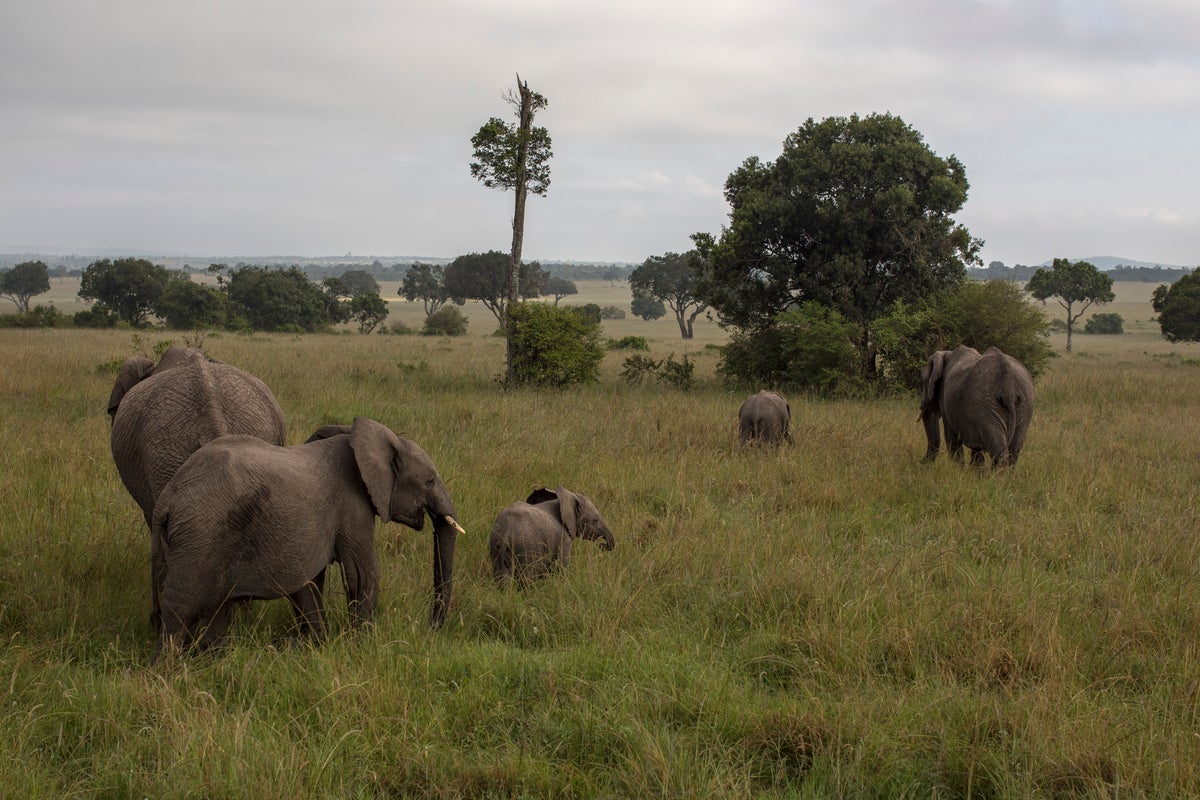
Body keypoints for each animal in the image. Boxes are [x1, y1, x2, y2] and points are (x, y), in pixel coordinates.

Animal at [150, 417, 463, 658]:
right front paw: (363, 646)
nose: (431, 628)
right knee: (181, 608)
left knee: (215, 606)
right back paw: (167, 671)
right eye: (430, 481)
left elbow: (310, 582)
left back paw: (213, 659)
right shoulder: (352, 504)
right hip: (200, 535)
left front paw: (317, 646)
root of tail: (167, 499)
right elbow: (362, 574)